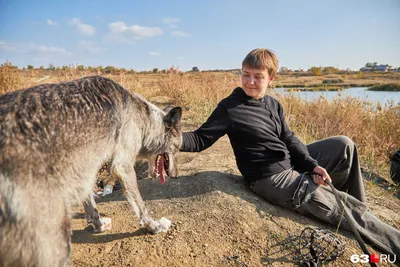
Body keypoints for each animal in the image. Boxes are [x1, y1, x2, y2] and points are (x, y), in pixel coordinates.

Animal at [0, 76, 183, 266]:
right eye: (178, 149)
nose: (176, 175)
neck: (142, 117)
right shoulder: (123, 166)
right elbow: (141, 208)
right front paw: (155, 226)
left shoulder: (85, 172)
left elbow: (91, 207)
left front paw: (99, 225)